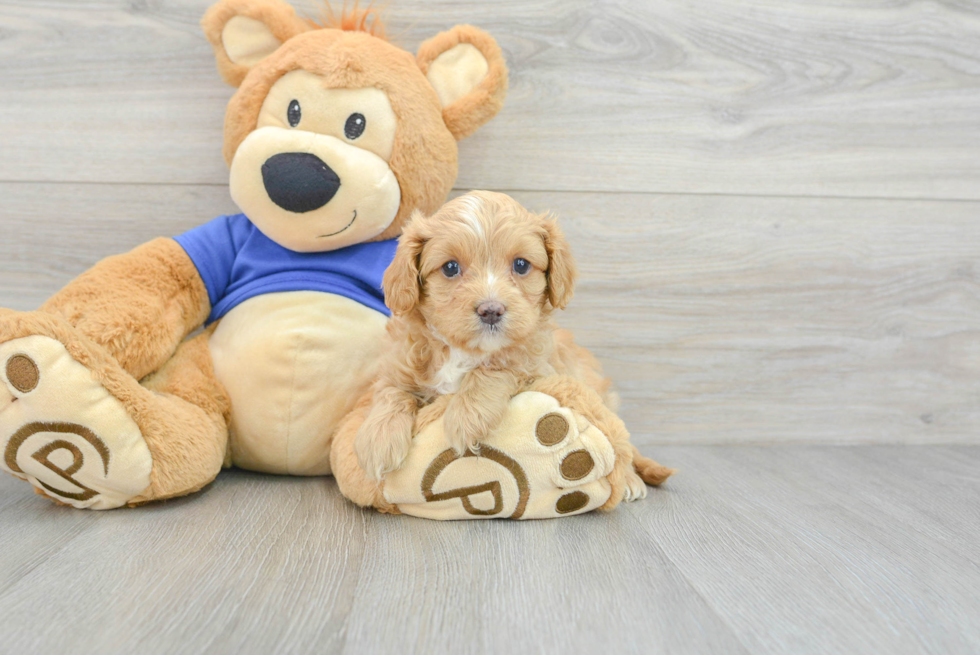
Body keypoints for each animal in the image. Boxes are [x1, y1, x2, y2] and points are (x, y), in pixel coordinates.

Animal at [354, 190, 672, 502]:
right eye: (450, 268)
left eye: (521, 264)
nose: (491, 310)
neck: (463, 352)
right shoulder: (399, 363)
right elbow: (392, 392)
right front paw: (378, 441)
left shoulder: (538, 365)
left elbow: (498, 367)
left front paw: (466, 416)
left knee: (621, 443)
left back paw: (630, 479)